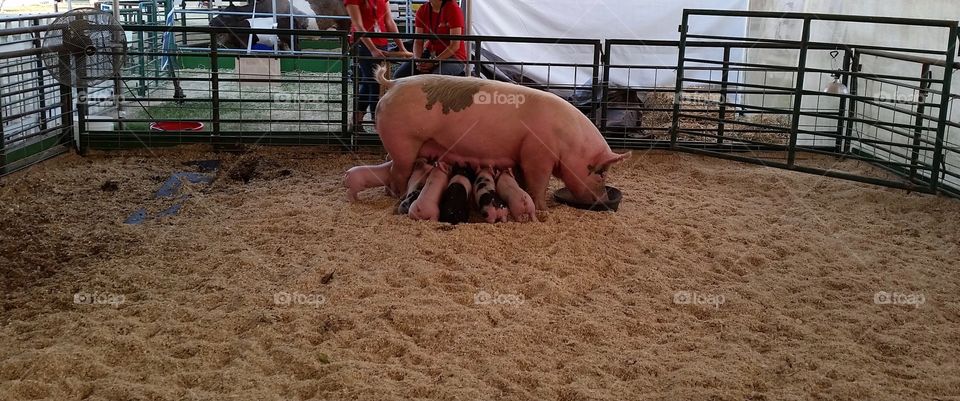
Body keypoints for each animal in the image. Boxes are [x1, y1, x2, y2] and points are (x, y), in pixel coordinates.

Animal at [370, 65, 632, 209]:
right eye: (601, 173)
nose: (603, 199)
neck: (570, 141)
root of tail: (393, 83)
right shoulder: (537, 154)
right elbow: (538, 182)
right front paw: (543, 209)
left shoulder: (523, 155)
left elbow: (525, 180)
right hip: (404, 142)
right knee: (397, 172)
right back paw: (395, 195)